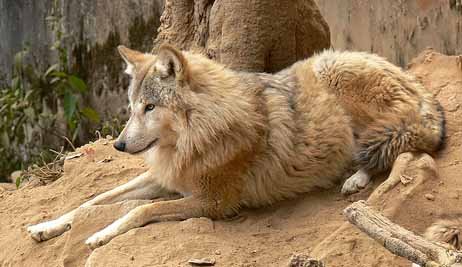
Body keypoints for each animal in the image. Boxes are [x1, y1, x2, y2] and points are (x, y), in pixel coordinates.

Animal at [27, 45, 446, 249]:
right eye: (132, 108)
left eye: (150, 107)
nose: (118, 144)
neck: (198, 133)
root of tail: (415, 83)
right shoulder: (168, 178)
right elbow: (92, 201)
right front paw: (47, 226)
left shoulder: (213, 202)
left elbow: (139, 211)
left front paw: (100, 234)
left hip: (336, 78)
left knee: (399, 147)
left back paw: (355, 180)